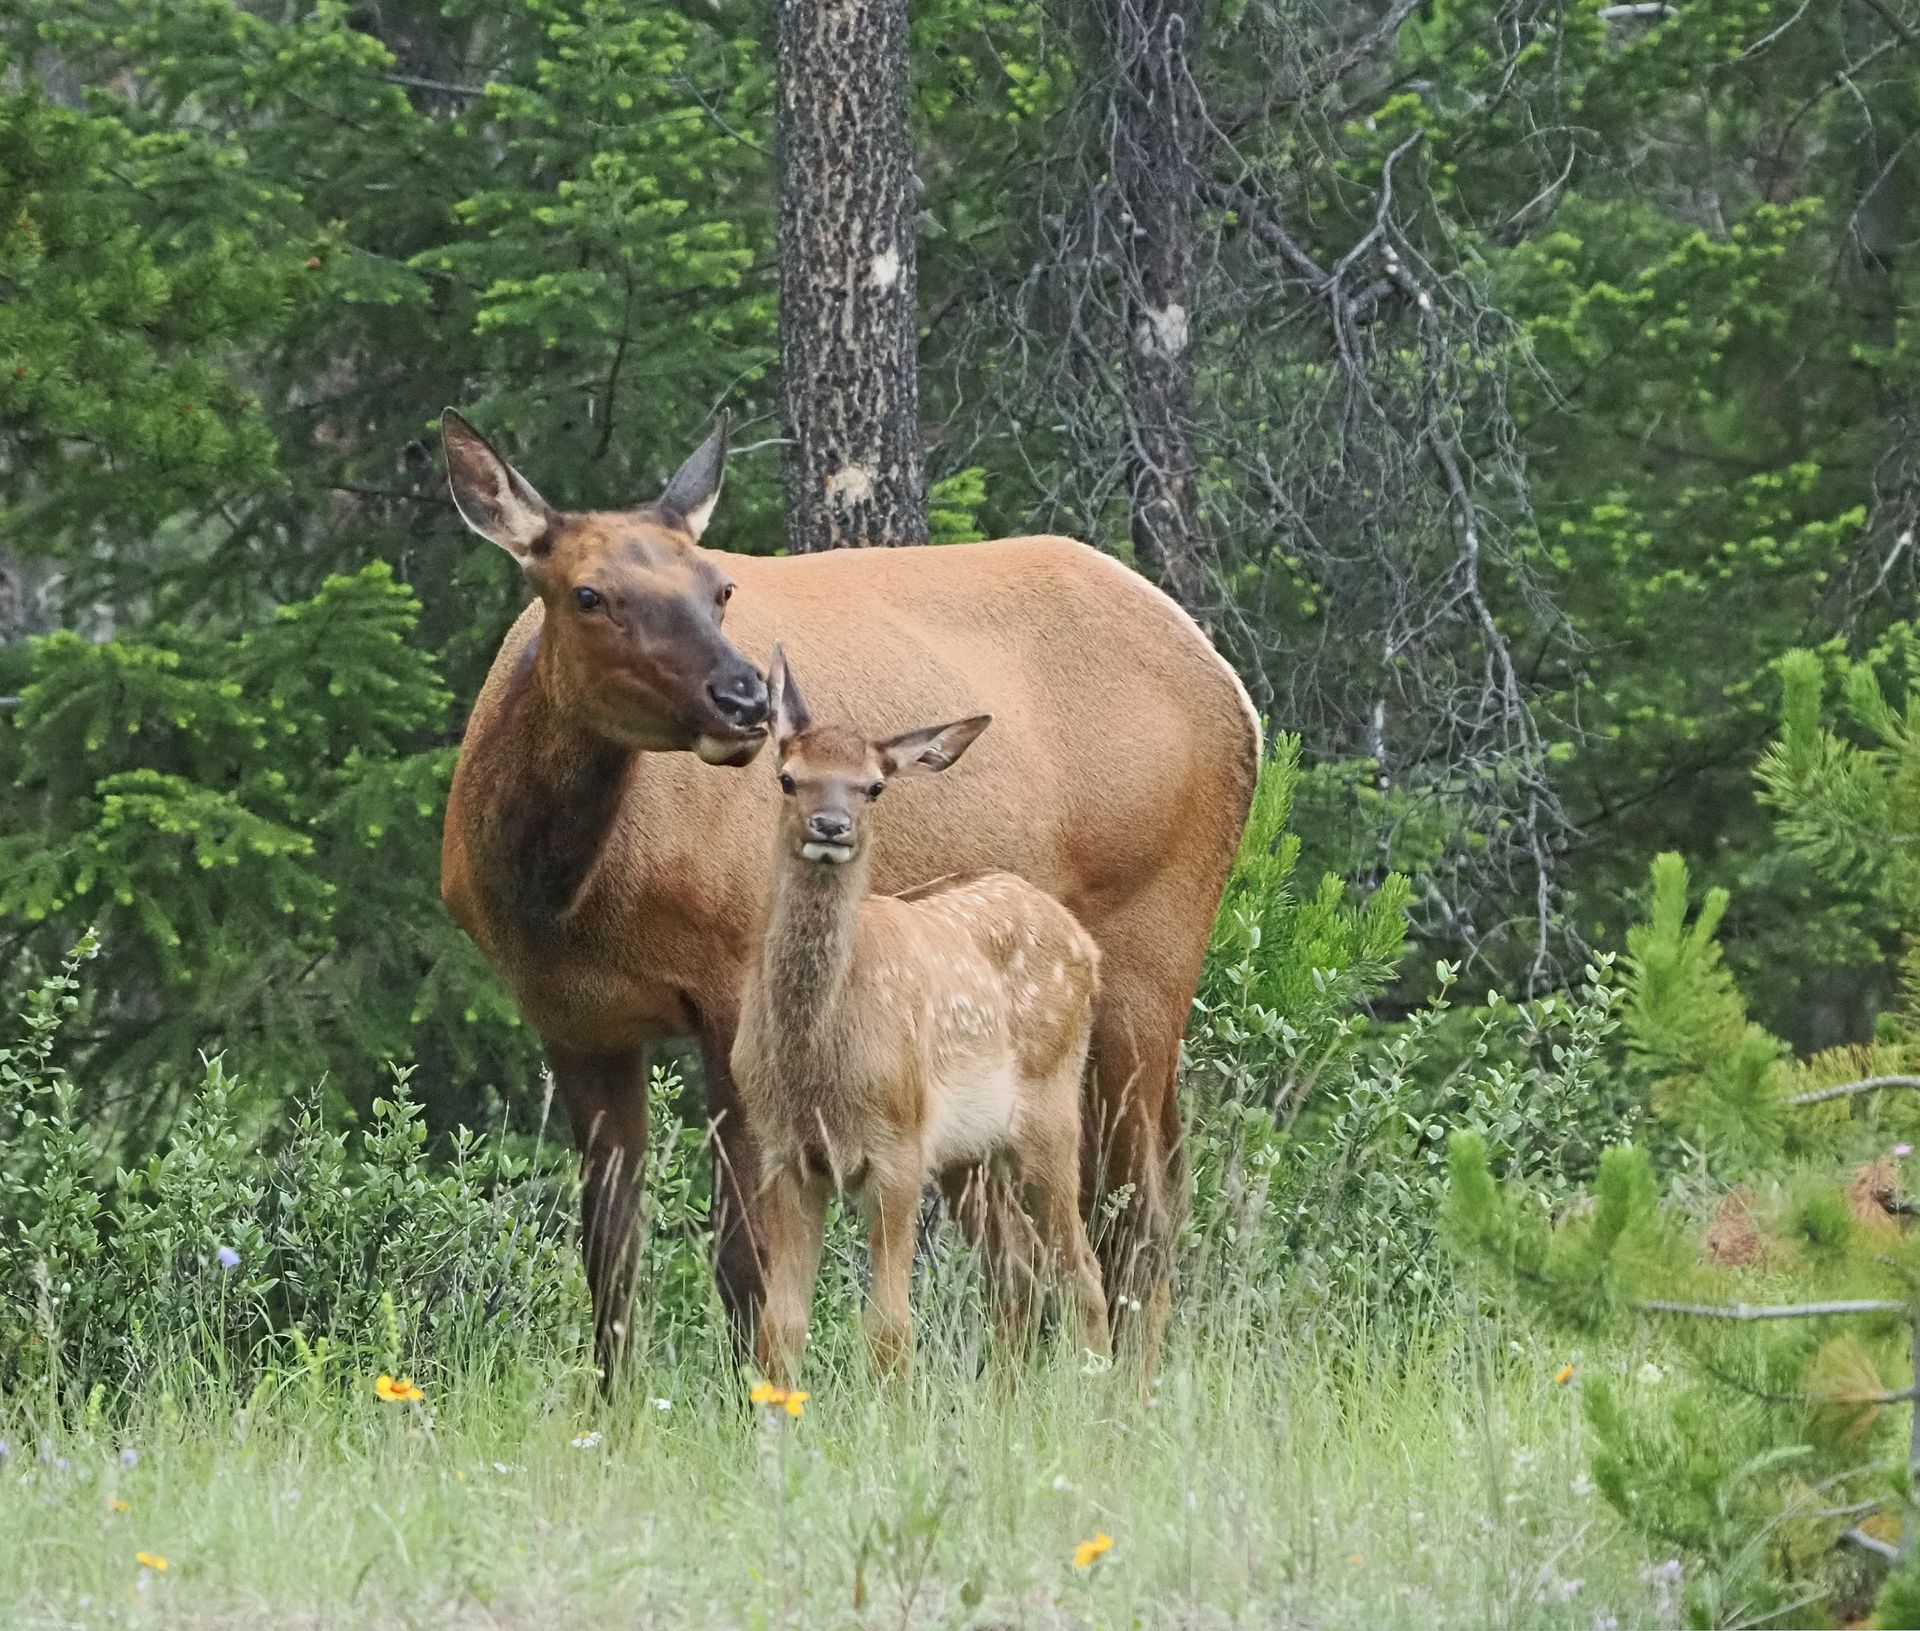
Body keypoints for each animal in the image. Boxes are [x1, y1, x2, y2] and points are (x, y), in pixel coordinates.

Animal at [732, 647, 1109, 1383]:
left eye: (874, 787)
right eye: (788, 778)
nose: (830, 827)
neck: (816, 1067)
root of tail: (1085, 943)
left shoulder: (898, 1149)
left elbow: (889, 1329)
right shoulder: (783, 1153)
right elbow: (780, 1326)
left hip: (1052, 1113)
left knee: (1081, 1266)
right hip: (971, 1149)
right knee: (1019, 1262)